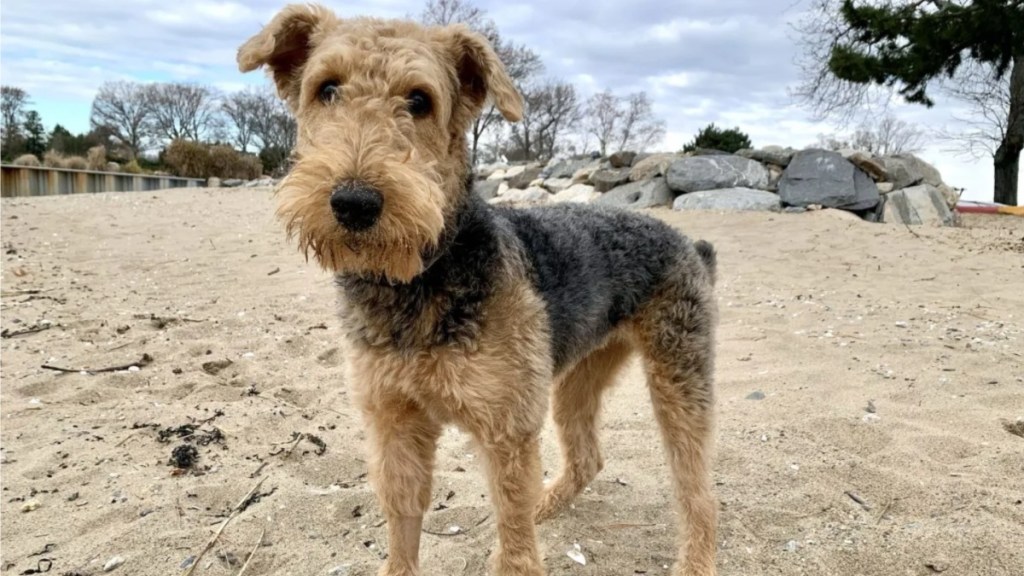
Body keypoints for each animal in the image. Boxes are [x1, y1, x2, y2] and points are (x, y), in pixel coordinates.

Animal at [239, 5, 720, 573]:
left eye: (419, 99)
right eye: (326, 88)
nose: (354, 203)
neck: (420, 282)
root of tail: (689, 243)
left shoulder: (506, 429)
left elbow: (514, 546)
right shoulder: (394, 420)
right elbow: (403, 523)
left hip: (677, 377)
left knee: (697, 491)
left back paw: (693, 559)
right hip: (577, 375)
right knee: (587, 456)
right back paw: (548, 504)